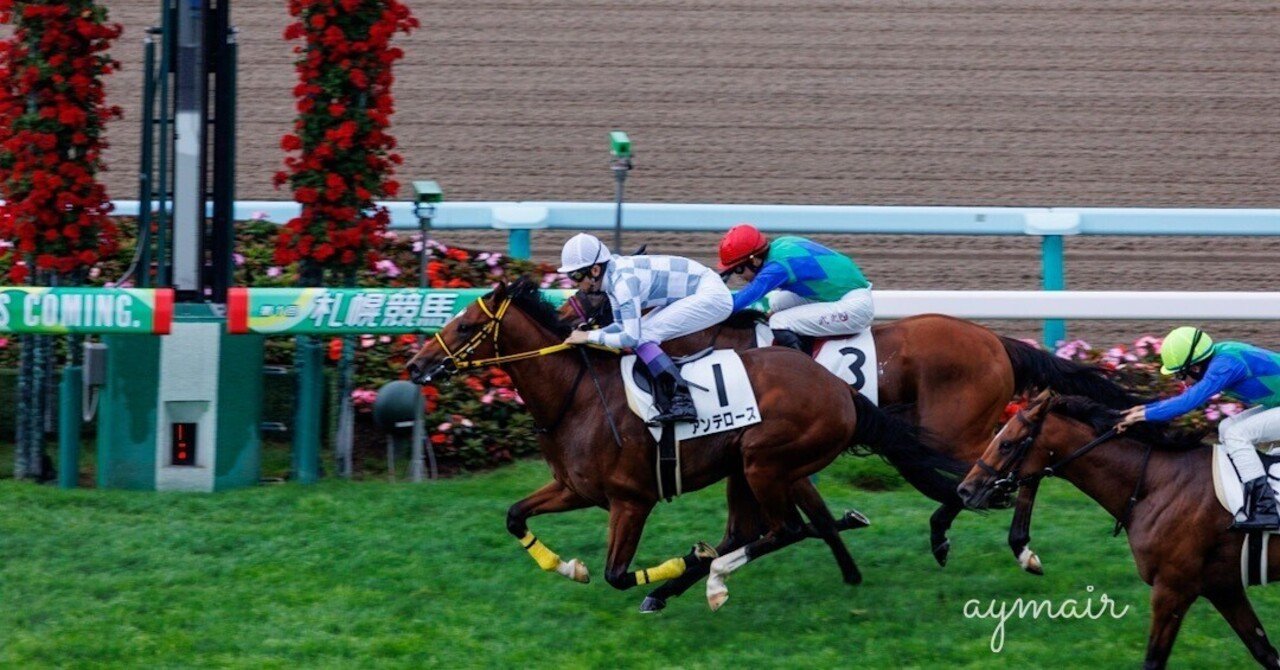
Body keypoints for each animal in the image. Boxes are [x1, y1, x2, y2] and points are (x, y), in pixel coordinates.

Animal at [406, 277, 963, 611]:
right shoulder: (574, 488)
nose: (415, 365)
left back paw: (708, 577)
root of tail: (840, 389)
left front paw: (683, 562)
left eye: (467, 325)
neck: (577, 396)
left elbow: (616, 574)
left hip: (764, 462)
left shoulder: (632, 500)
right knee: (756, 530)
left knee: (782, 529)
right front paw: (567, 566)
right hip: (744, 467)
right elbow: (514, 516)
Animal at [958, 390, 1280, 669]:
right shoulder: (1223, 586)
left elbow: (1153, 661)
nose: (965, 490)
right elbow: (1265, 651)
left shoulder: (1172, 588)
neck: (1155, 483)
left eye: (1006, 444)